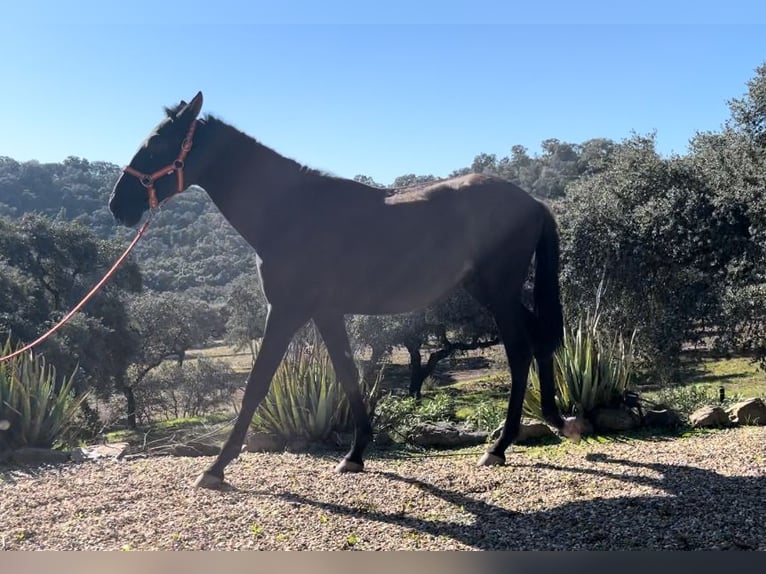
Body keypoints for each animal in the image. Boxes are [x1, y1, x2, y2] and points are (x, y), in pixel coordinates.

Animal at [111, 90, 584, 490]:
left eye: (157, 144)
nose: (118, 205)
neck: (290, 211)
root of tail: (532, 202)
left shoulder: (286, 310)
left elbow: (256, 386)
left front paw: (215, 468)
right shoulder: (326, 312)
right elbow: (347, 374)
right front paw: (355, 454)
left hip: (497, 292)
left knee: (520, 350)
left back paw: (499, 447)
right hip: (491, 292)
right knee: (538, 338)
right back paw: (554, 420)